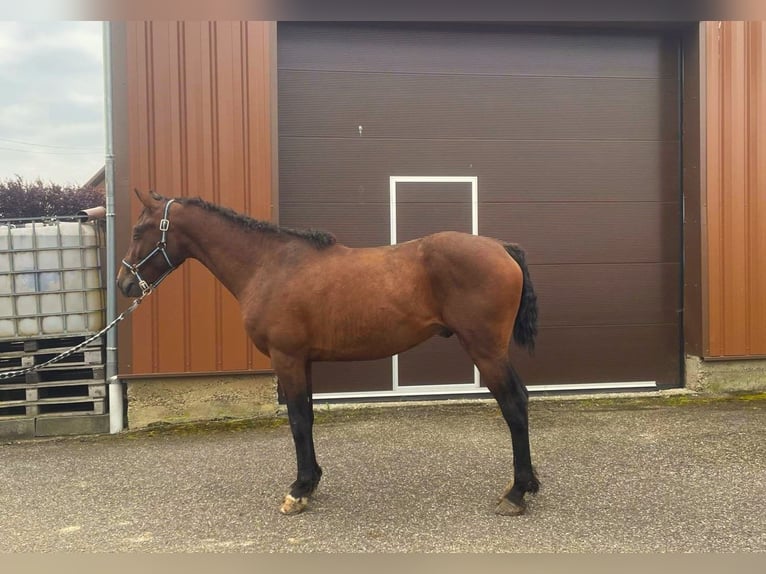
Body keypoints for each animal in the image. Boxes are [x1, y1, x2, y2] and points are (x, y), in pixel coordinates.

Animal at [117, 189, 544, 516]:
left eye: (139, 230)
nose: (124, 283)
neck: (269, 264)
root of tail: (501, 248)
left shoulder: (286, 358)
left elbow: (297, 421)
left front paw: (299, 490)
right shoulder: (302, 361)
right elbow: (305, 418)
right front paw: (311, 482)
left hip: (485, 350)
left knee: (513, 404)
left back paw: (516, 493)